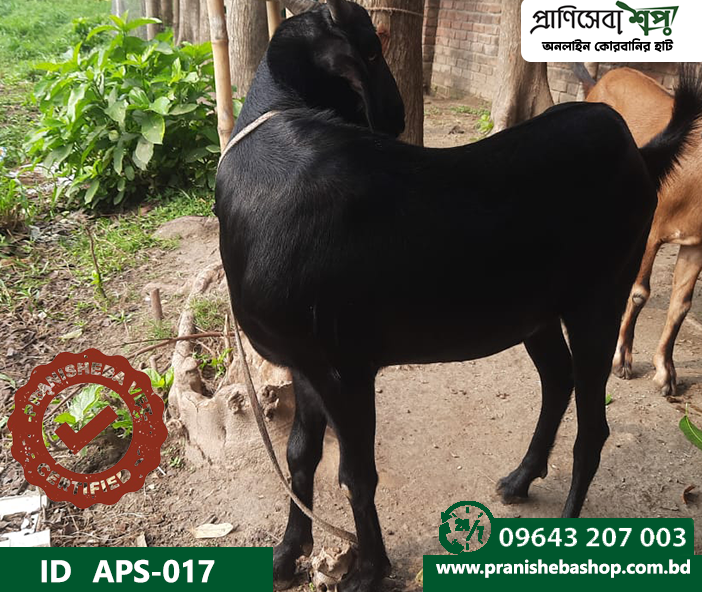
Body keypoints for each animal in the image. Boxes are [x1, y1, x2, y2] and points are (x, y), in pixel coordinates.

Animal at [573, 64, 702, 397]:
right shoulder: (652, 227)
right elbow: (639, 293)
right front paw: (621, 360)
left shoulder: (695, 243)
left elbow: (681, 305)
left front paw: (665, 373)